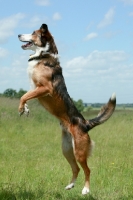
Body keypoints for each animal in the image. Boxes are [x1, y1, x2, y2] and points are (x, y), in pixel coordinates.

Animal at [17, 23, 116, 195]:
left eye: (33, 33)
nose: (18, 35)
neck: (42, 55)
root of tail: (85, 124)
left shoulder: (44, 88)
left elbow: (24, 96)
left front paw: (21, 107)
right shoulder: (34, 88)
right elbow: (26, 95)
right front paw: (26, 109)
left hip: (79, 152)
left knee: (87, 170)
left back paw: (85, 190)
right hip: (67, 150)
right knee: (76, 168)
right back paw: (70, 185)